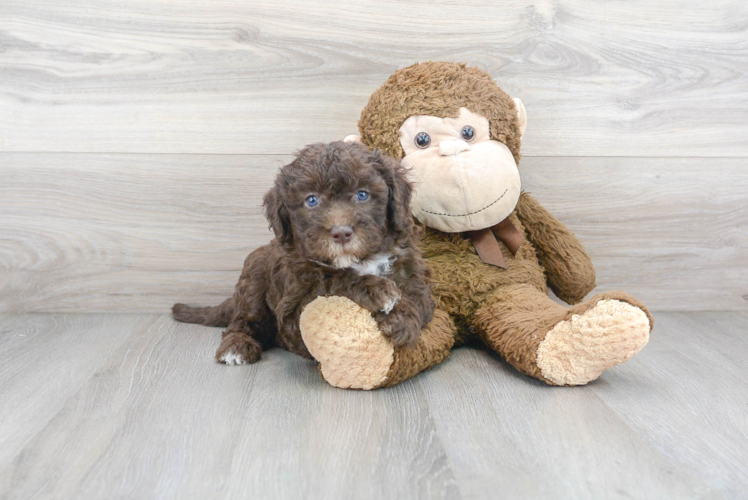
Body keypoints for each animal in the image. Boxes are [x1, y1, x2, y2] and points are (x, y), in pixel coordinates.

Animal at [172, 140, 436, 364]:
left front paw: (402, 320)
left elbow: (418, 305)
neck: (360, 260)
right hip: (253, 279)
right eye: (311, 200)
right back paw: (235, 347)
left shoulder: (414, 278)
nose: (341, 233)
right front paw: (378, 291)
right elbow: (333, 280)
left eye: (362, 194)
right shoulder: (293, 308)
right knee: (244, 321)